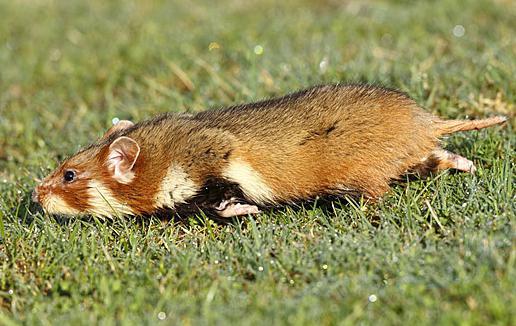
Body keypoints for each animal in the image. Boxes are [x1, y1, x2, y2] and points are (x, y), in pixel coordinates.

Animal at [33, 83, 508, 219]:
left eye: (69, 174)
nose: (34, 193)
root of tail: (427, 120)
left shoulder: (215, 163)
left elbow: (224, 200)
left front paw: (247, 210)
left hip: (363, 177)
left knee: (383, 190)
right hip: (419, 153)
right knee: (440, 156)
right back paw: (468, 164)